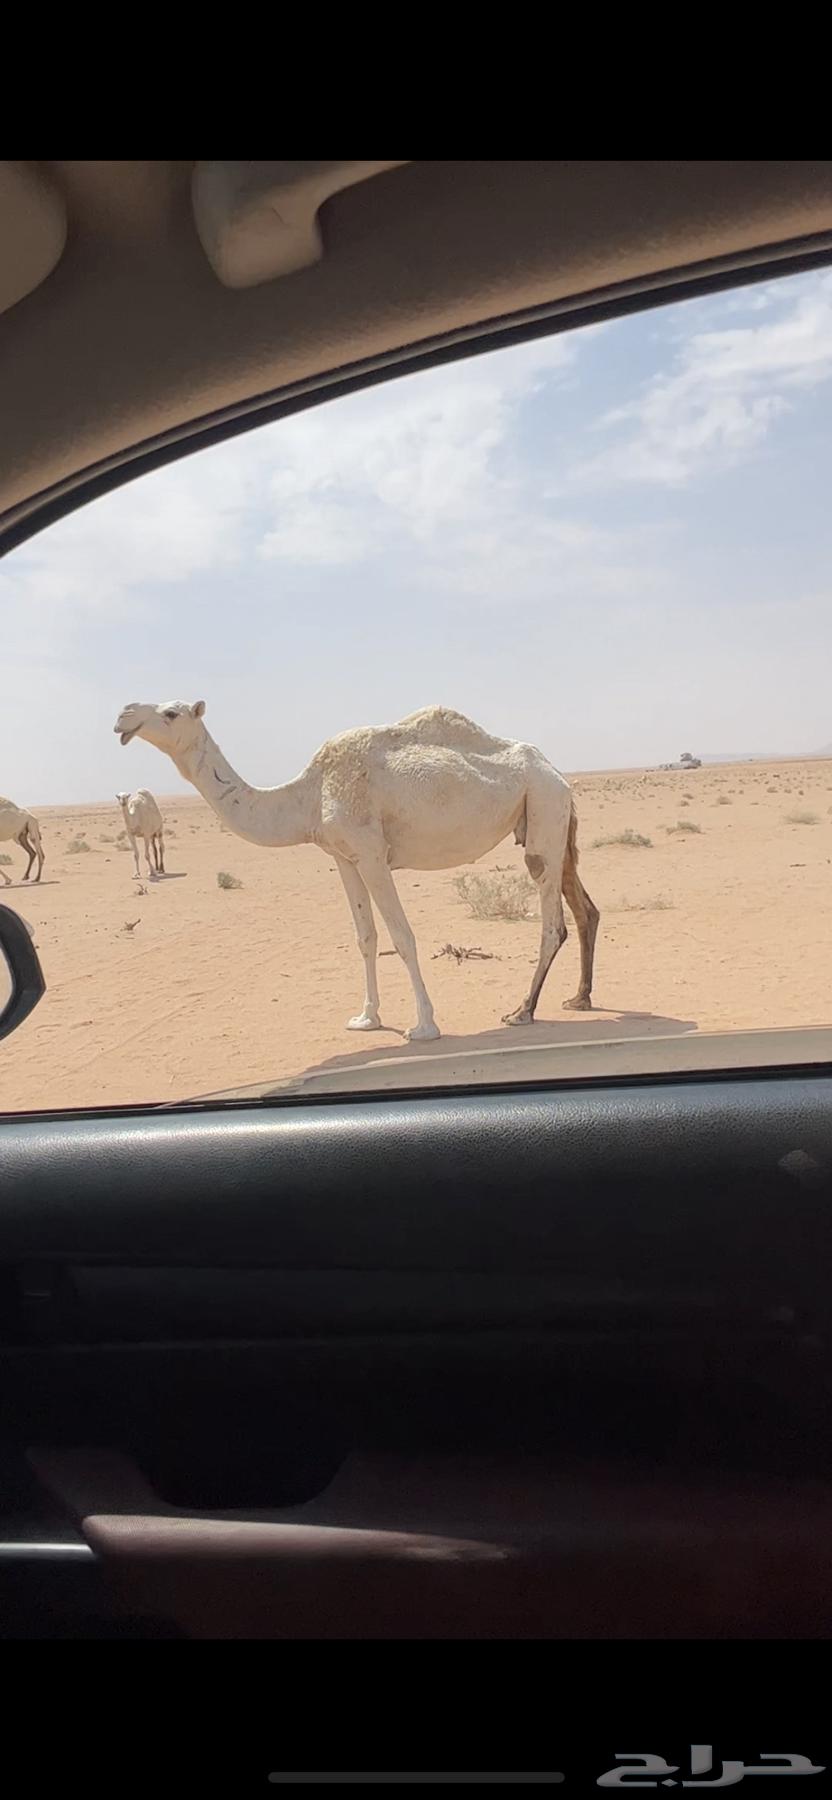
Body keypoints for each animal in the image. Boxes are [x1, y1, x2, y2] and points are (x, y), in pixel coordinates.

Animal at [114, 700, 599, 1041]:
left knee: (552, 922)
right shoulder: (343, 858)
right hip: (552, 819)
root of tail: (558, 774)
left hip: (543, 810)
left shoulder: (370, 852)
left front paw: (424, 1026)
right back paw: (579, 998)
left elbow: (402, 936)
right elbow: (366, 937)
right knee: (585, 910)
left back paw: (522, 1010)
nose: (123, 716)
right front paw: (366, 1018)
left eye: (171, 712)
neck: (309, 795)